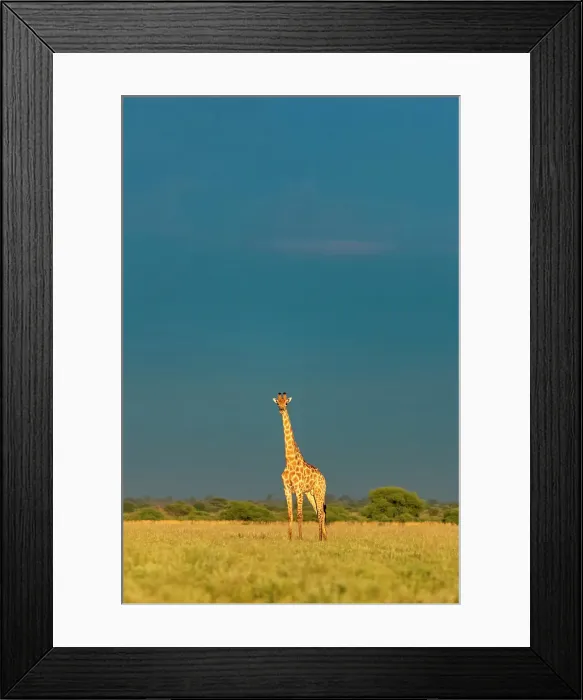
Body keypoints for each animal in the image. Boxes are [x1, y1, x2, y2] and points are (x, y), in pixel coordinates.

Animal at [272, 392, 327, 541]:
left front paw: (300, 538)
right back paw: (324, 537)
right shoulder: (286, 489)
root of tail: (323, 477)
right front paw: (290, 538)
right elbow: (290, 514)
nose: (281, 409)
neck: (290, 461)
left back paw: (320, 538)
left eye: (286, 403)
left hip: (320, 491)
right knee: (319, 512)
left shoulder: (298, 489)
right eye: (277, 402)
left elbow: (300, 515)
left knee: (321, 513)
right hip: (310, 493)